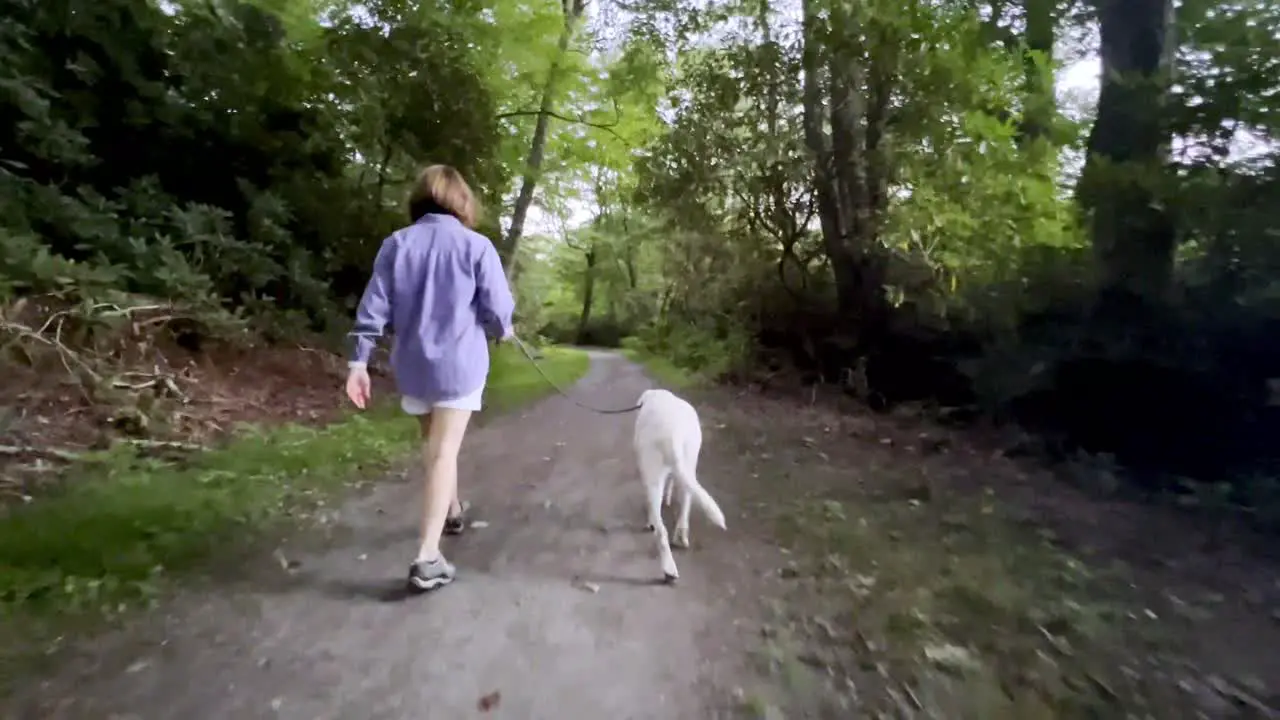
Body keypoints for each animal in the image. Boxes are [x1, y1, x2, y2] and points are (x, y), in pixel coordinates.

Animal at [632, 384, 727, 579]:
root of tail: (673, 432)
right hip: (689, 463)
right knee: (686, 501)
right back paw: (681, 537)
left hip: (653, 470)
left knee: (661, 530)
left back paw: (669, 570)